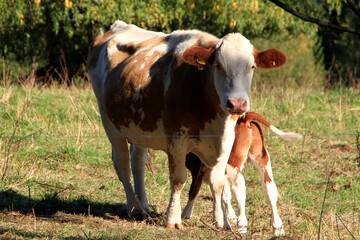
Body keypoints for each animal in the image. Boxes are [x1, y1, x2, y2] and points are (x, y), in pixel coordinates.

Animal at [87, 20, 286, 229]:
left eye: (252, 66)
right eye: (218, 65)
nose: (237, 103)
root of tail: (118, 27)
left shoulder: (226, 141)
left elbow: (218, 183)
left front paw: (221, 221)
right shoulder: (177, 141)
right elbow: (178, 180)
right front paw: (173, 218)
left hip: (140, 128)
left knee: (138, 162)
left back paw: (144, 205)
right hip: (109, 121)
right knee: (122, 165)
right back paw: (135, 208)